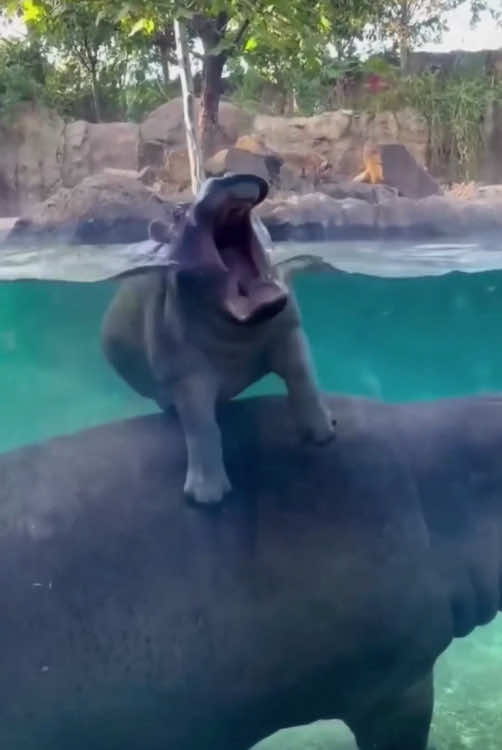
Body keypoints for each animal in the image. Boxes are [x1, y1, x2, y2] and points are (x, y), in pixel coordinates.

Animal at [101, 173, 334, 505]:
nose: (222, 177)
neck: (240, 336)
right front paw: (206, 496)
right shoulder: (186, 376)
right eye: (177, 213)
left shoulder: (289, 332)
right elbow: (201, 426)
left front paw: (324, 433)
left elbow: (304, 379)